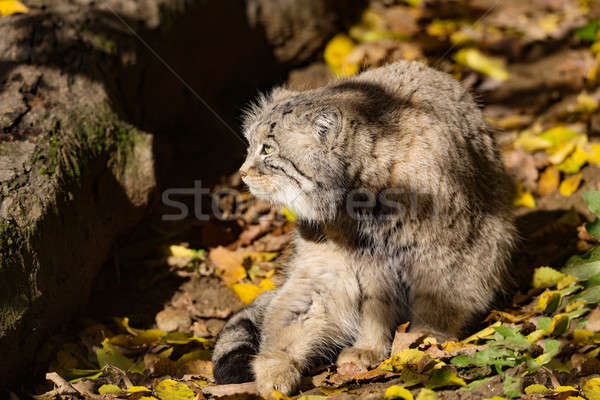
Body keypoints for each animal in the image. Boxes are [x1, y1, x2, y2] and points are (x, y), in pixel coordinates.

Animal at [212, 61, 516, 396]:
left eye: (267, 149)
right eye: (250, 146)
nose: (241, 173)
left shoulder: (446, 250)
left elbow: (436, 304)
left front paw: (424, 342)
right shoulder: (360, 263)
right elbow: (372, 307)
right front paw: (370, 348)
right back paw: (275, 370)